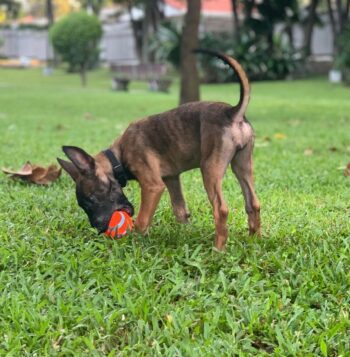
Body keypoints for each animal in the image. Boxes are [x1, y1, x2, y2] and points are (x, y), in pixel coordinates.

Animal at [57, 50, 260, 250]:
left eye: (91, 199)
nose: (99, 228)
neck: (118, 156)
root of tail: (232, 112)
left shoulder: (152, 186)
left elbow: (141, 221)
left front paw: (134, 245)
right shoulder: (171, 179)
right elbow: (180, 210)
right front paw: (184, 233)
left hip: (210, 169)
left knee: (221, 209)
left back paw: (218, 250)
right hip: (242, 166)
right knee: (253, 203)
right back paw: (255, 240)